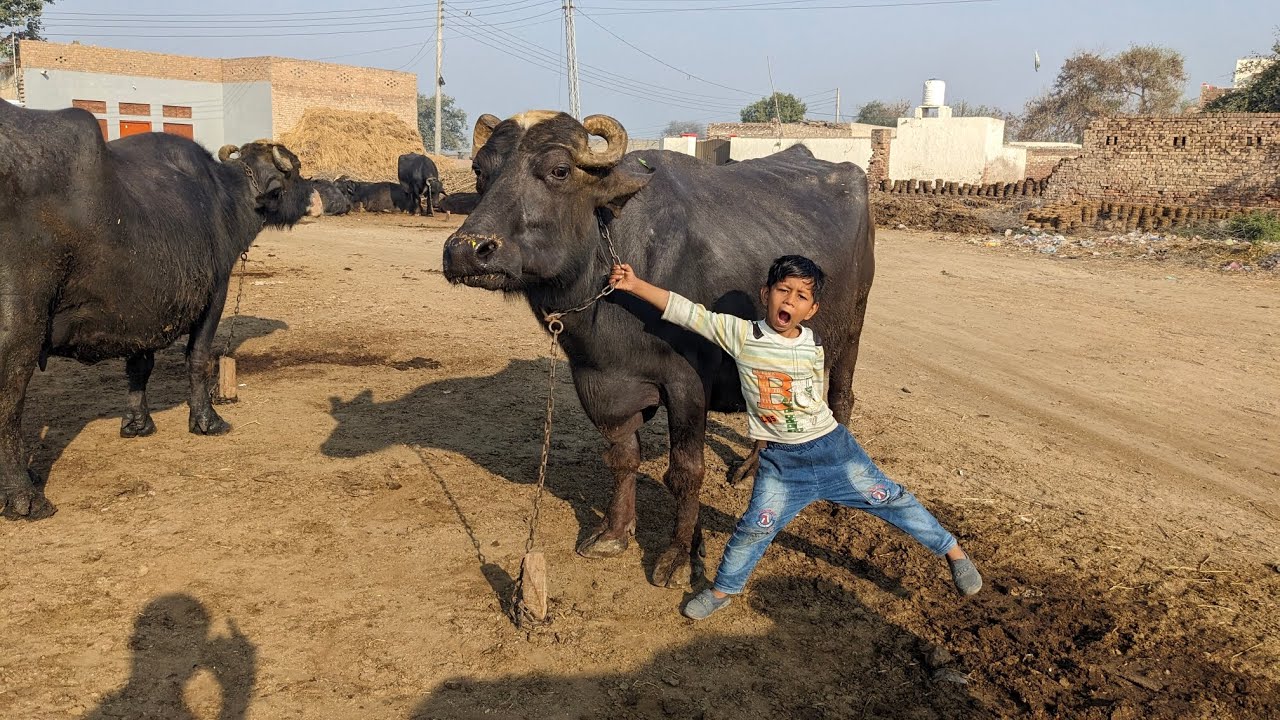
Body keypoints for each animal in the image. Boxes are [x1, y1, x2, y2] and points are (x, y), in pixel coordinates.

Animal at [0, 99, 311, 519]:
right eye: (295, 171)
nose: (312, 196)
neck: (226, 199)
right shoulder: (215, 292)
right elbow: (199, 358)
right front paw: (206, 420)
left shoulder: (140, 309)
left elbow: (139, 365)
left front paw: (137, 423)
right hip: (21, 325)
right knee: (9, 399)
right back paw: (25, 496)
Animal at [443, 111, 875, 588]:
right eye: (480, 171)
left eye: (559, 170)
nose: (466, 251)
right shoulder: (598, 381)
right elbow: (621, 458)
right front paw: (614, 532)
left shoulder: (687, 384)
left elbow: (686, 472)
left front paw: (680, 554)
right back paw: (750, 468)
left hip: (851, 327)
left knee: (841, 396)